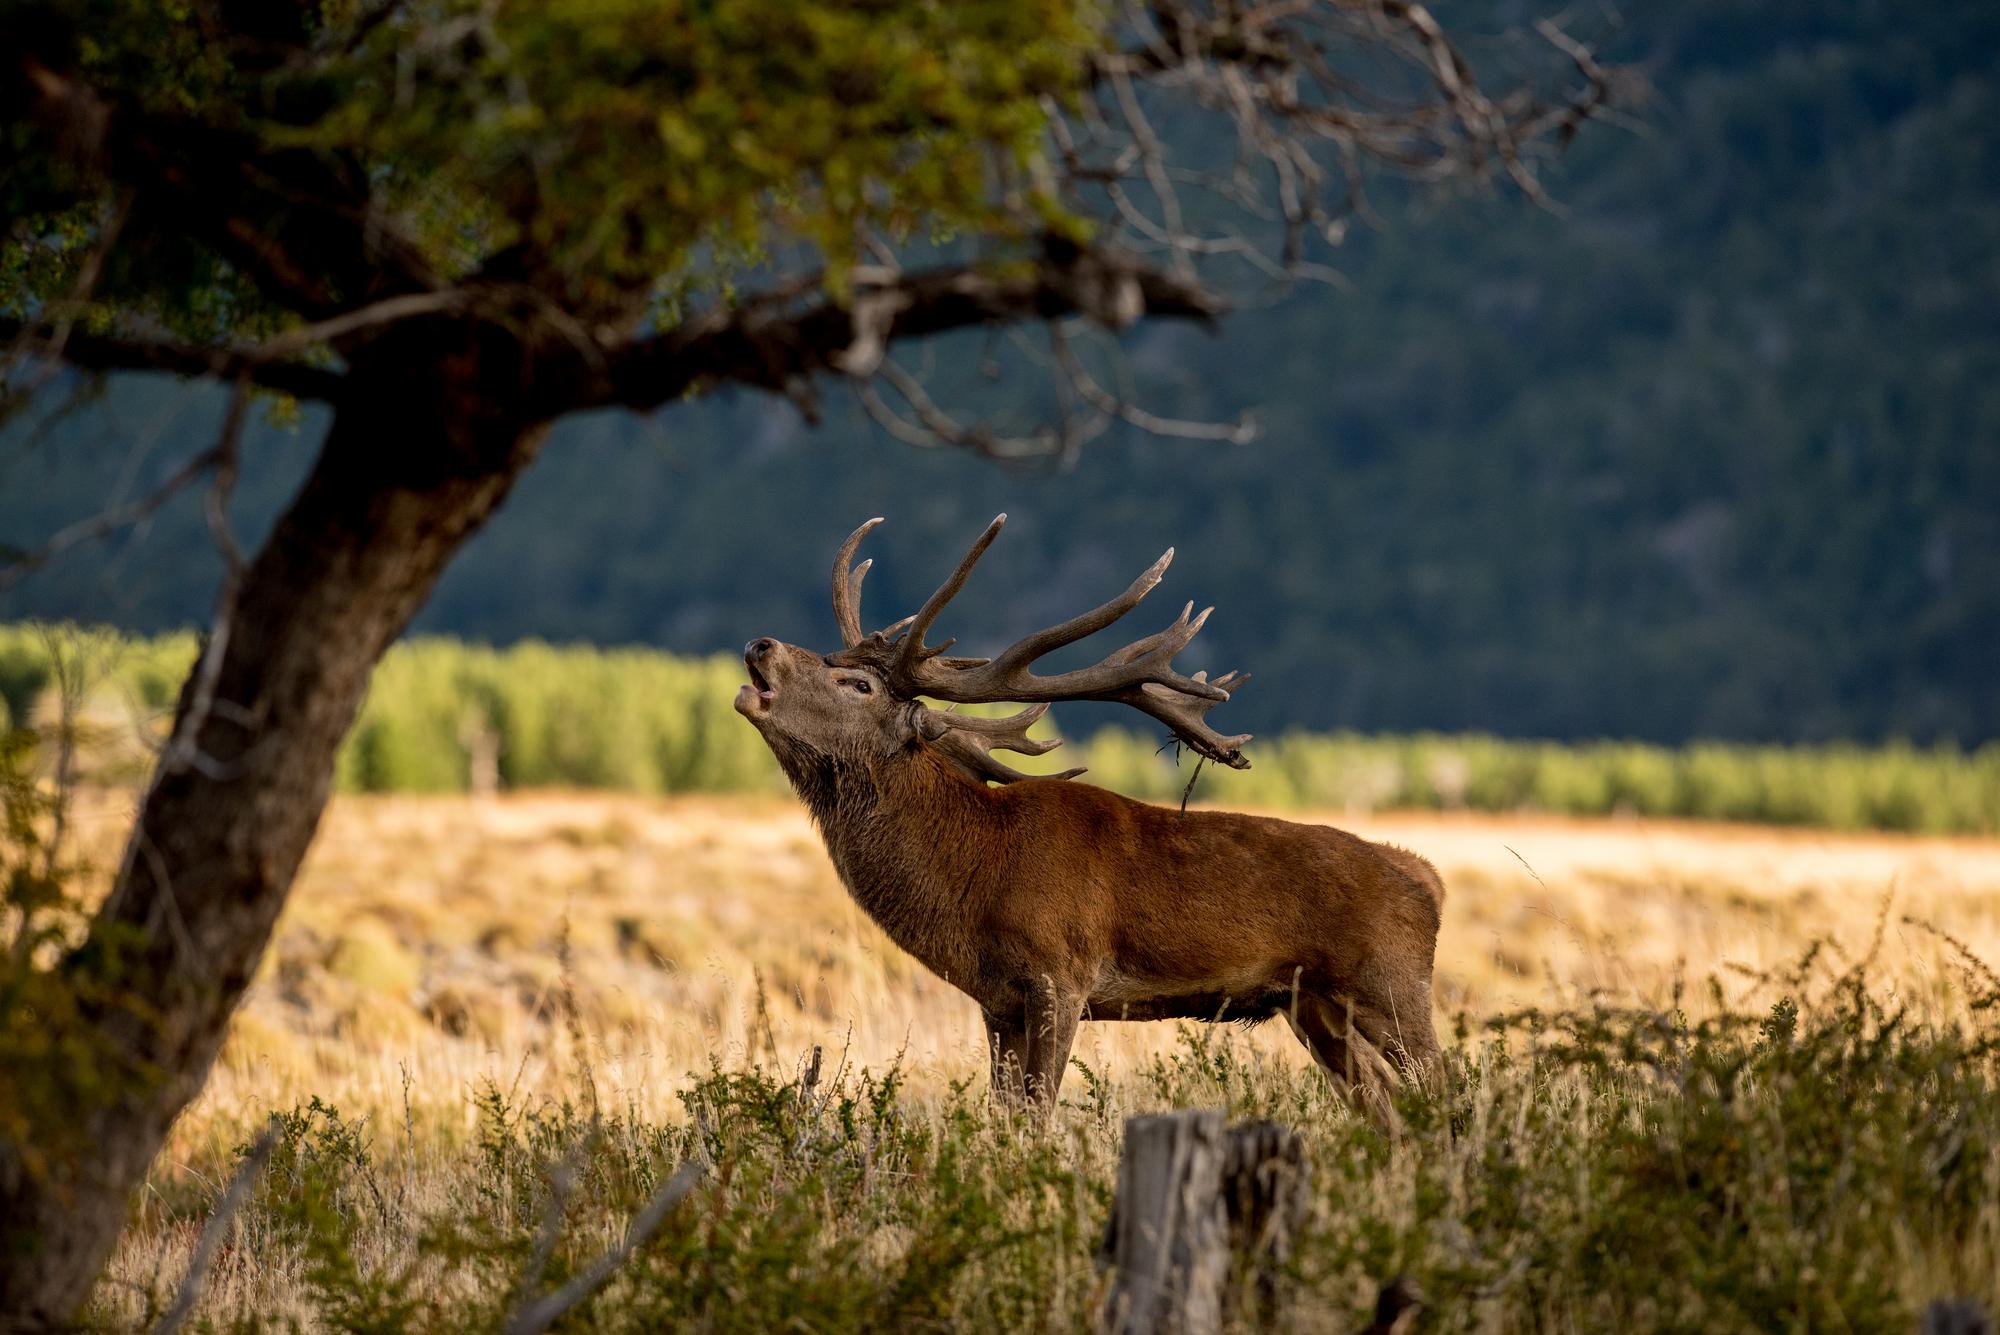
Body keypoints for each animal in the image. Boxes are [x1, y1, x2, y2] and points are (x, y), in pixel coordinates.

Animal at [734, 515, 1445, 1123]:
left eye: (859, 686)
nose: (760, 644)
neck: (974, 879)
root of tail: (1431, 881)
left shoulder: (1061, 975)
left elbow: (1038, 1115)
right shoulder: (999, 1003)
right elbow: (1005, 1117)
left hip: (1392, 985)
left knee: (1447, 1090)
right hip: (1316, 1007)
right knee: (1386, 1113)